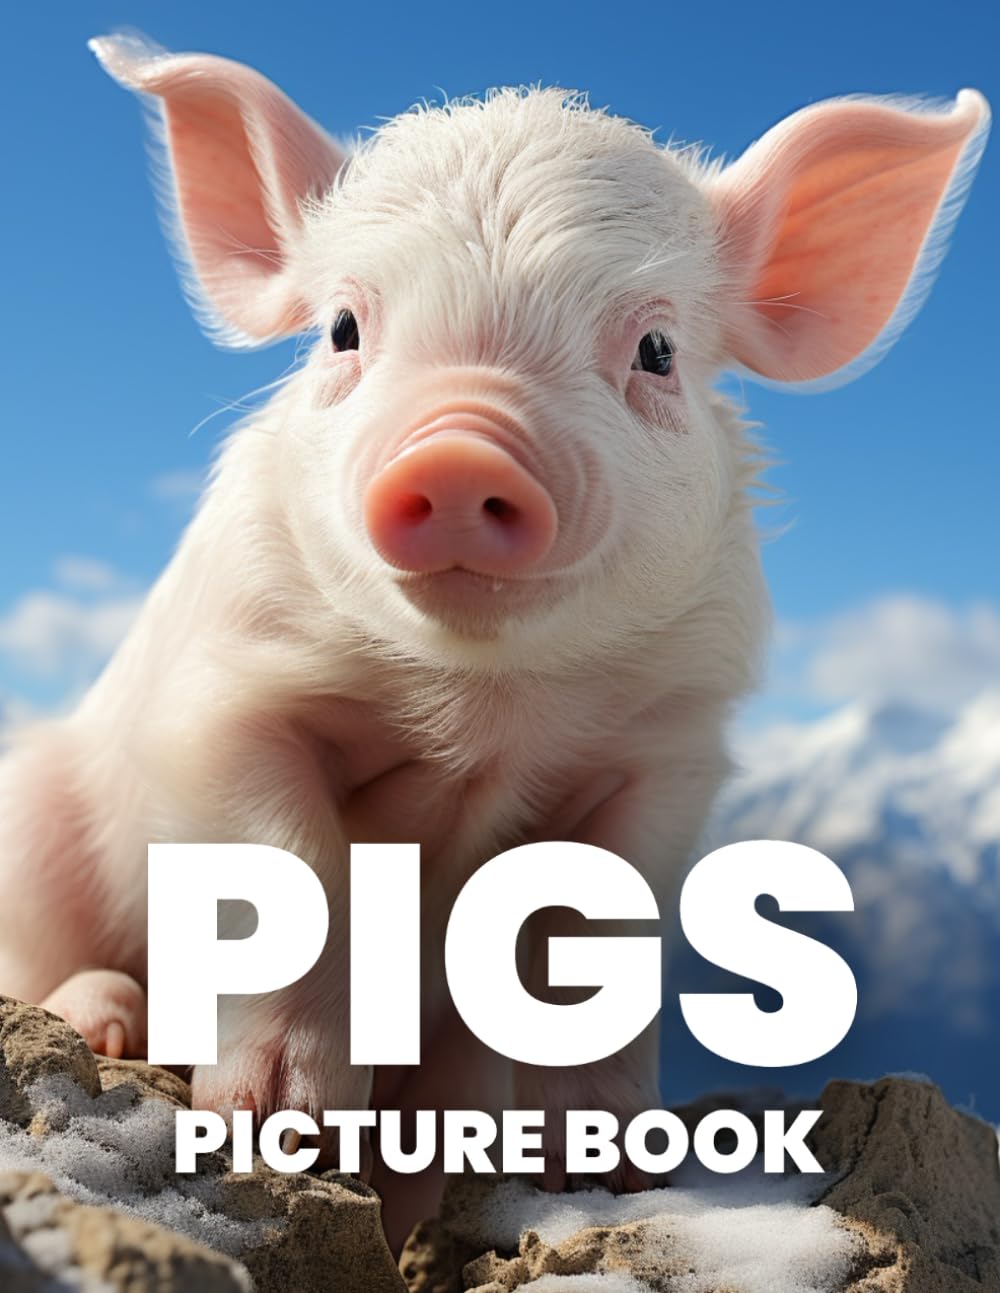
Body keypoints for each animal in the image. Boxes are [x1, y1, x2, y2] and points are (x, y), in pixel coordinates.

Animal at [0, 29, 988, 1249]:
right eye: (343, 330)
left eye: (656, 348)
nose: (462, 448)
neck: (485, 709)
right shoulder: (220, 705)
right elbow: (291, 869)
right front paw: (281, 1128)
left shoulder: (668, 755)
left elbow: (590, 942)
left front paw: (608, 1173)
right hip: (33, 822)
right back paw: (110, 1026)